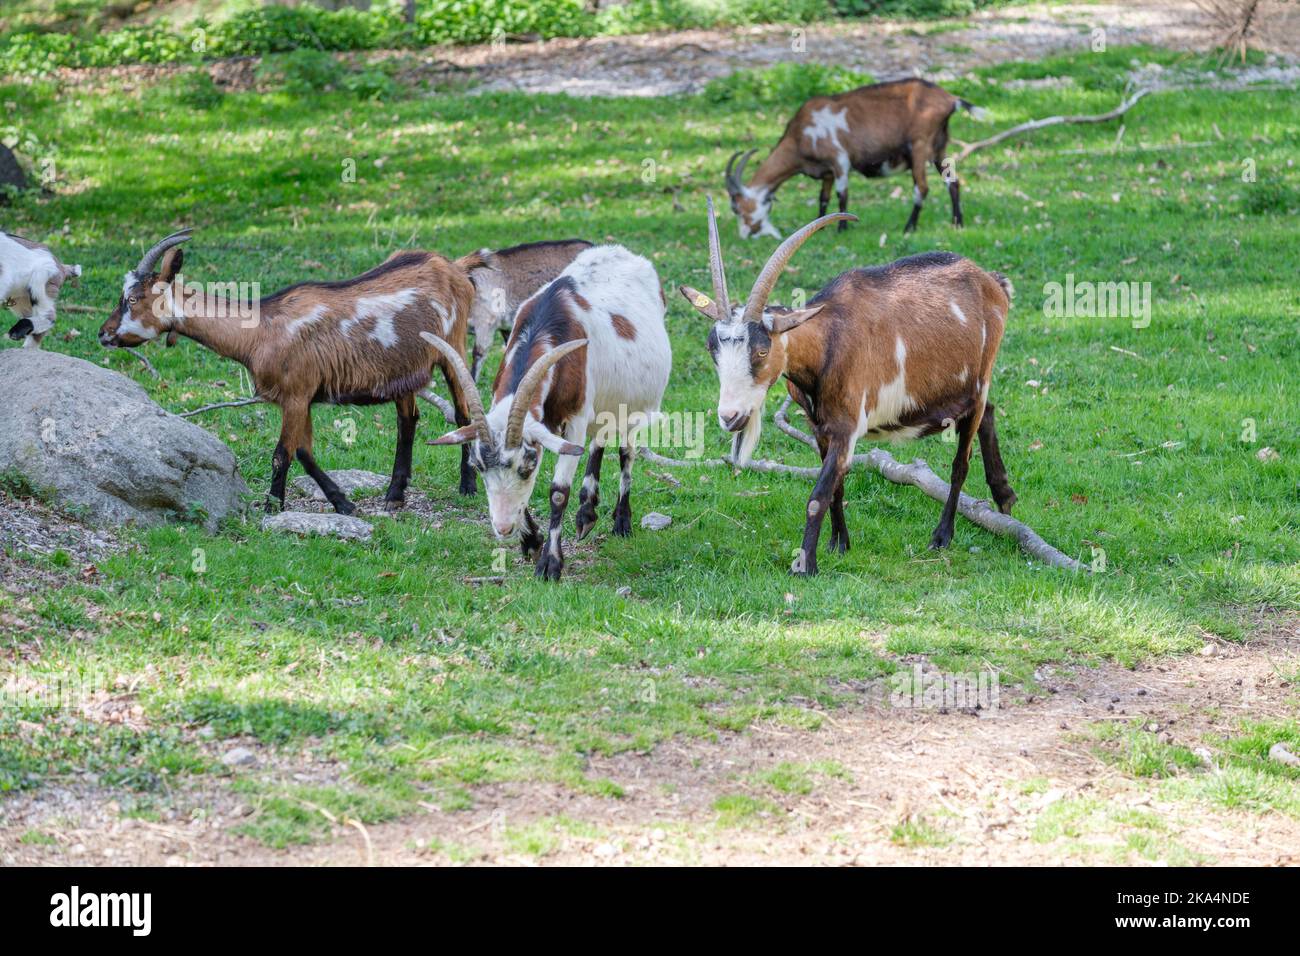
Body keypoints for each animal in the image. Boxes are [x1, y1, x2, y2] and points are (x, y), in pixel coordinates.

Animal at [98, 230, 482, 514]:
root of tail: (454, 267)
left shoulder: (296, 394)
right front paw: (343, 504)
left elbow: (282, 454)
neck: (260, 331)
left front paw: (272, 507)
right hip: (402, 370)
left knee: (463, 412)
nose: (103, 333)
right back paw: (394, 495)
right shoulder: (302, 398)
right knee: (408, 420)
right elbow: (304, 452)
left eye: (132, 299)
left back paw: (467, 486)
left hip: (453, 349)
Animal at [680, 198, 1017, 576]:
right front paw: (838, 544)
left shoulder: (847, 426)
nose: (730, 417)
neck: (828, 343)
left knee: (962, 462)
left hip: (980, 379)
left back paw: (942, 536)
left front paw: (806, 565)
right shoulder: (820, 428)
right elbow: (836, 488)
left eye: (762, 350)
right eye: (712, 348)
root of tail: (992, 282)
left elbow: (817, 496)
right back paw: (1004, 497)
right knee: (989, 412)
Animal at [724, 78, 987, 239]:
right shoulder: (826, 172)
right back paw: (957, 222)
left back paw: (909, 227)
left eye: (736, 208)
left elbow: (842, 194)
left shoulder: (839, 159)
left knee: (921, 187)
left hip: (919, 147)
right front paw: (818, 226)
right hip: (939, 148)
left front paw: (842, 228)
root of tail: (950, 99)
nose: (745, 234)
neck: (800, 135)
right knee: (953, 182)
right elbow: (823, 197)